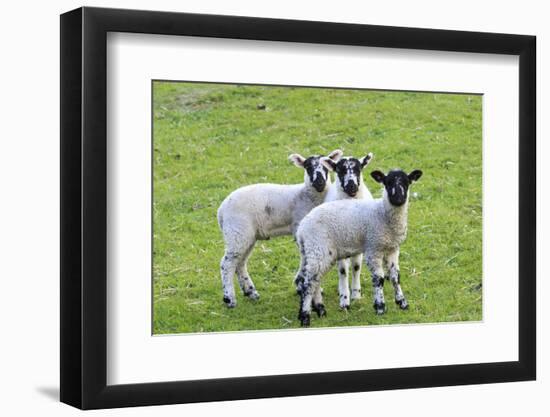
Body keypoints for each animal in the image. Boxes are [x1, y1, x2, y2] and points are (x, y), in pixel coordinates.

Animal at [217, 149, 342, 306]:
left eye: (325, 167)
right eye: (308, 167)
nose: (319, 182)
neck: (306, 196)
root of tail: (221, 211)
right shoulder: (298, 228)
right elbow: (304, 257)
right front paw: (301, 285)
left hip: (245, 236)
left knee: (240, 263)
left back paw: (250, 292)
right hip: (237, 231)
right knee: (227, 264)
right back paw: (230, 299)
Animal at [296, 168, 424, 324]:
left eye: (407, 182)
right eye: (387, 183)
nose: (399, 199)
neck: (382, 213)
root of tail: (301, 230)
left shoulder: (393, 249)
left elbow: (395, 276)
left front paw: (402, 302)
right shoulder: (373, 248)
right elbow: (379, 279)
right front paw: (380, 307)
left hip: (316, 252)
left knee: (313, 280)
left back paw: (320, 310)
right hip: (318, 248)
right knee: (308, 283)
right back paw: (305, 316)